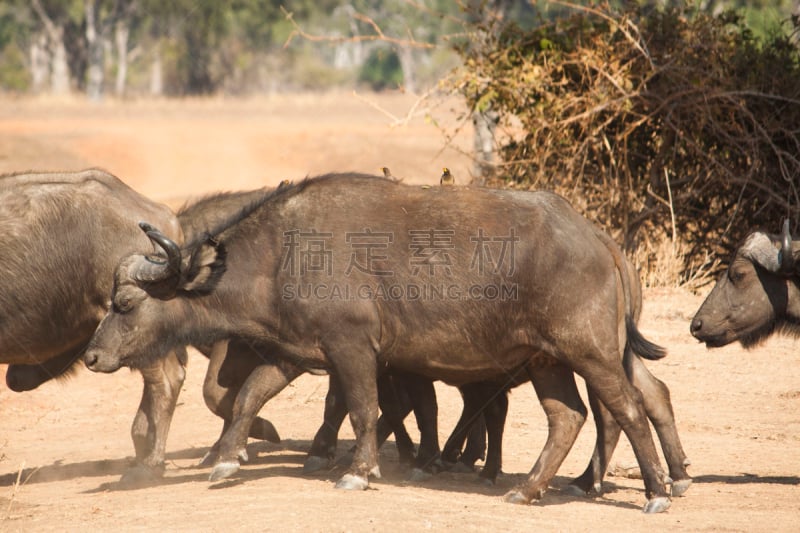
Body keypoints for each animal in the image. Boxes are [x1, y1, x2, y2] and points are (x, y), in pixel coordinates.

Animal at [84, 172, 676, 510]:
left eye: (126, 304)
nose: (92, 355)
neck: (282, 254)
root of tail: (596, 236)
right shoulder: (295, 351)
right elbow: (249, 396)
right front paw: (228, 459)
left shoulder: (353, 351)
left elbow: (364, 409)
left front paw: (359, 472)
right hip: (546, 361)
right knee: (568, 417)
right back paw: (526, 489)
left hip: (591, 353)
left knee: (627, 407)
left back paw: (656, 492)